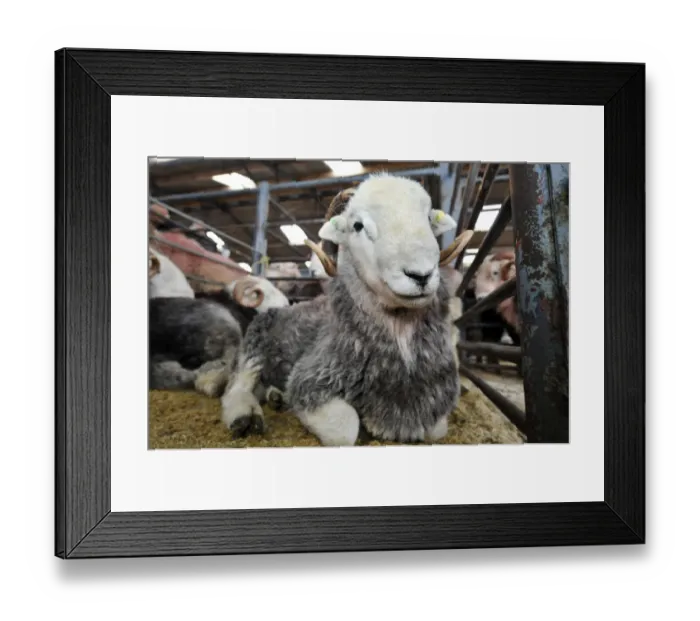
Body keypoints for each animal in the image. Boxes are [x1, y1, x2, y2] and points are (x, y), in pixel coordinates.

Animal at [219, 173, 475, 446]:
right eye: (358, 226)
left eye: (428, 218)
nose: (421, 275)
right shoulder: (310, 379)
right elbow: (345, 429)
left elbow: (437, 431)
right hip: (253, 350)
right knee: (236, 387)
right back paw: (245, 415)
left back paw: (276, 395)